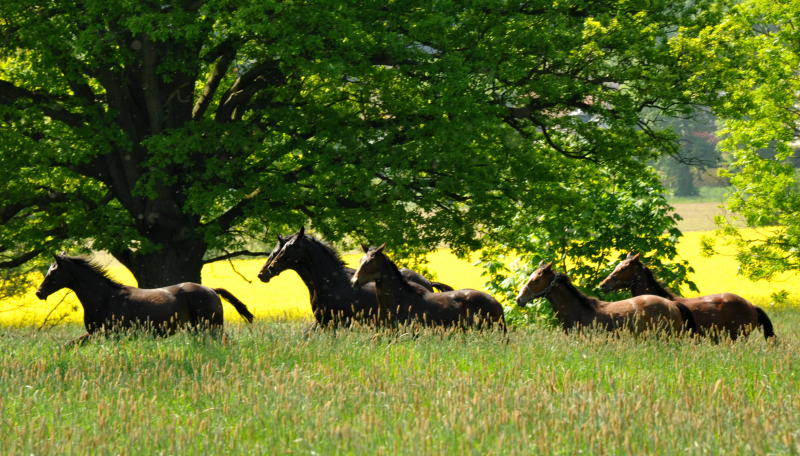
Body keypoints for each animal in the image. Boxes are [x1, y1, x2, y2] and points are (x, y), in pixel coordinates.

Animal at [33, 253, 253, 346]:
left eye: (52, 273)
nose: (39, 293)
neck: (104, 298)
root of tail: (211, 290)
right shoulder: (94, 333)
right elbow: (69, 345)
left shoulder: (110, 333)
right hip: (199, 328)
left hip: (213, 326)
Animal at [258, 226, 454, 326]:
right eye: (278, 249)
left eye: (289, 247)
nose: (265, 272)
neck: (330, 283)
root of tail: (427, 283)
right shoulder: (323, 322)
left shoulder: (334, 322)